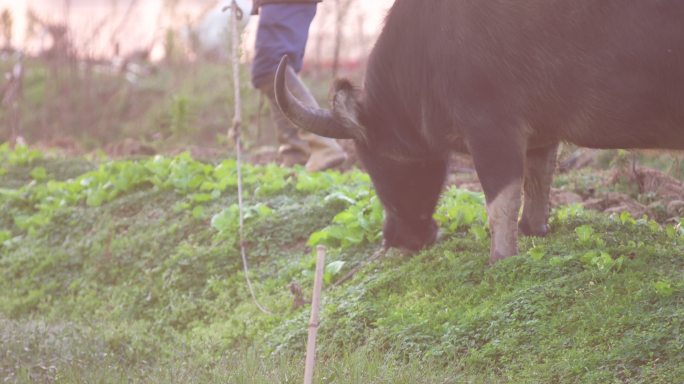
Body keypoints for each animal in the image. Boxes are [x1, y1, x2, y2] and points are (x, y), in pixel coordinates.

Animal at [276, 0, 684, 262]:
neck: (428, 46)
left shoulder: (492, 130)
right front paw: (534, 230)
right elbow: (537, 181)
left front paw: (500, 258)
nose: (396, 239)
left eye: (375, 163)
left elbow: (500, 201)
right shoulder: (540, 133)